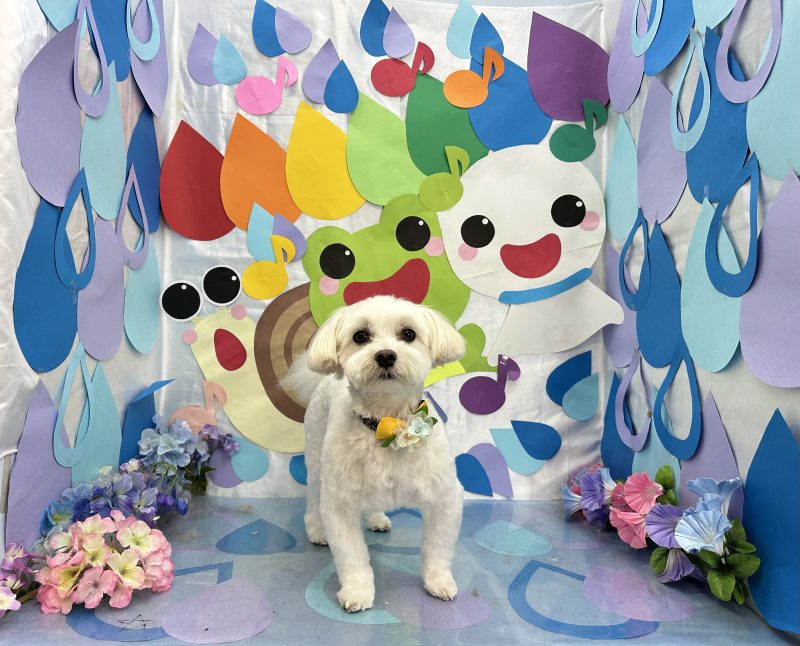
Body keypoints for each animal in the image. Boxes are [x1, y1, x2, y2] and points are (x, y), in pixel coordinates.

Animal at [286, 295, 466, 612]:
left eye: (408, 333)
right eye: (361, 336)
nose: (385, 355)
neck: (386, 424)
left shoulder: (445, 497)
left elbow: (438, 549)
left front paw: (438, 582)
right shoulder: (340, 502)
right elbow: (352, 556)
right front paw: (357, 592)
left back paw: (376, 519)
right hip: (318, 461)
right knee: (313, 500)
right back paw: (317, 531)